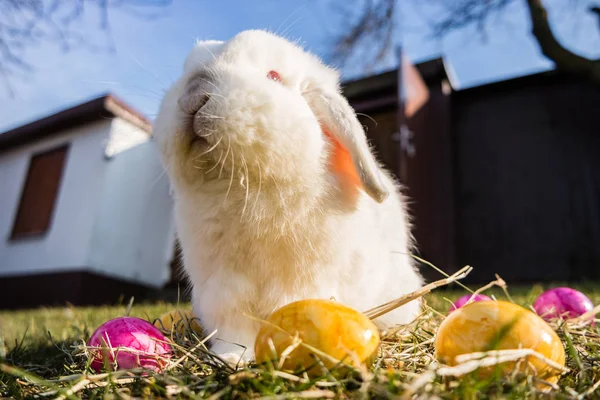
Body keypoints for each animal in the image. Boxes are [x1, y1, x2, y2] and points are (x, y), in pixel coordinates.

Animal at [152, 28, 424, 366]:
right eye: (186, 70)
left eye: (274, 75)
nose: (193, 95)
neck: (242, 187)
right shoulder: (223, 287)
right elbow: (234, 327)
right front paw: (232, 357)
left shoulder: (302, 280)